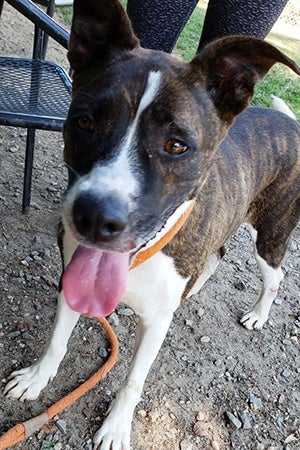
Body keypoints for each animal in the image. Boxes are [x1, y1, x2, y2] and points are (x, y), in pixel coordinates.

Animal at [4, 0, 300, 450]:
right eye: (84, 122)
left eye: (176, 145)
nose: (95, 217)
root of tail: (291, 122)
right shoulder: (71, 279)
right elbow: (56, 340)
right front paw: (36, 379)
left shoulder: (155, 323)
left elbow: (133, 381)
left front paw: (116, 428)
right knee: (217, 253)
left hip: (272, 230)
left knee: (274, 276)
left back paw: (257, 314)